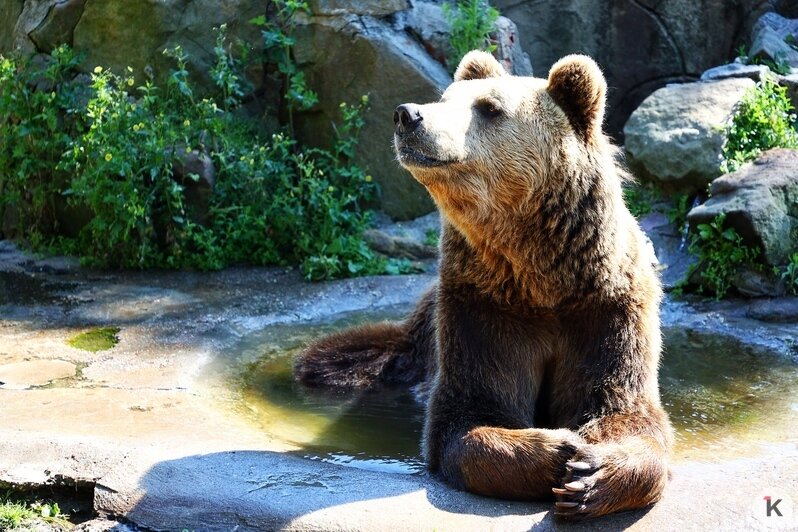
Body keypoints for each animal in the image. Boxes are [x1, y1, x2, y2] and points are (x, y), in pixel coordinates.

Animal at [294, 51, 668, 520]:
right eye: (445, 98)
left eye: (489, 108)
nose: (408, 115)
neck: (541, 277)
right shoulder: (484, 306)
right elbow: (470, 413)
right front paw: (559, 450)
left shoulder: (606, 308)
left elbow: (625, 406)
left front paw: (591, 472)